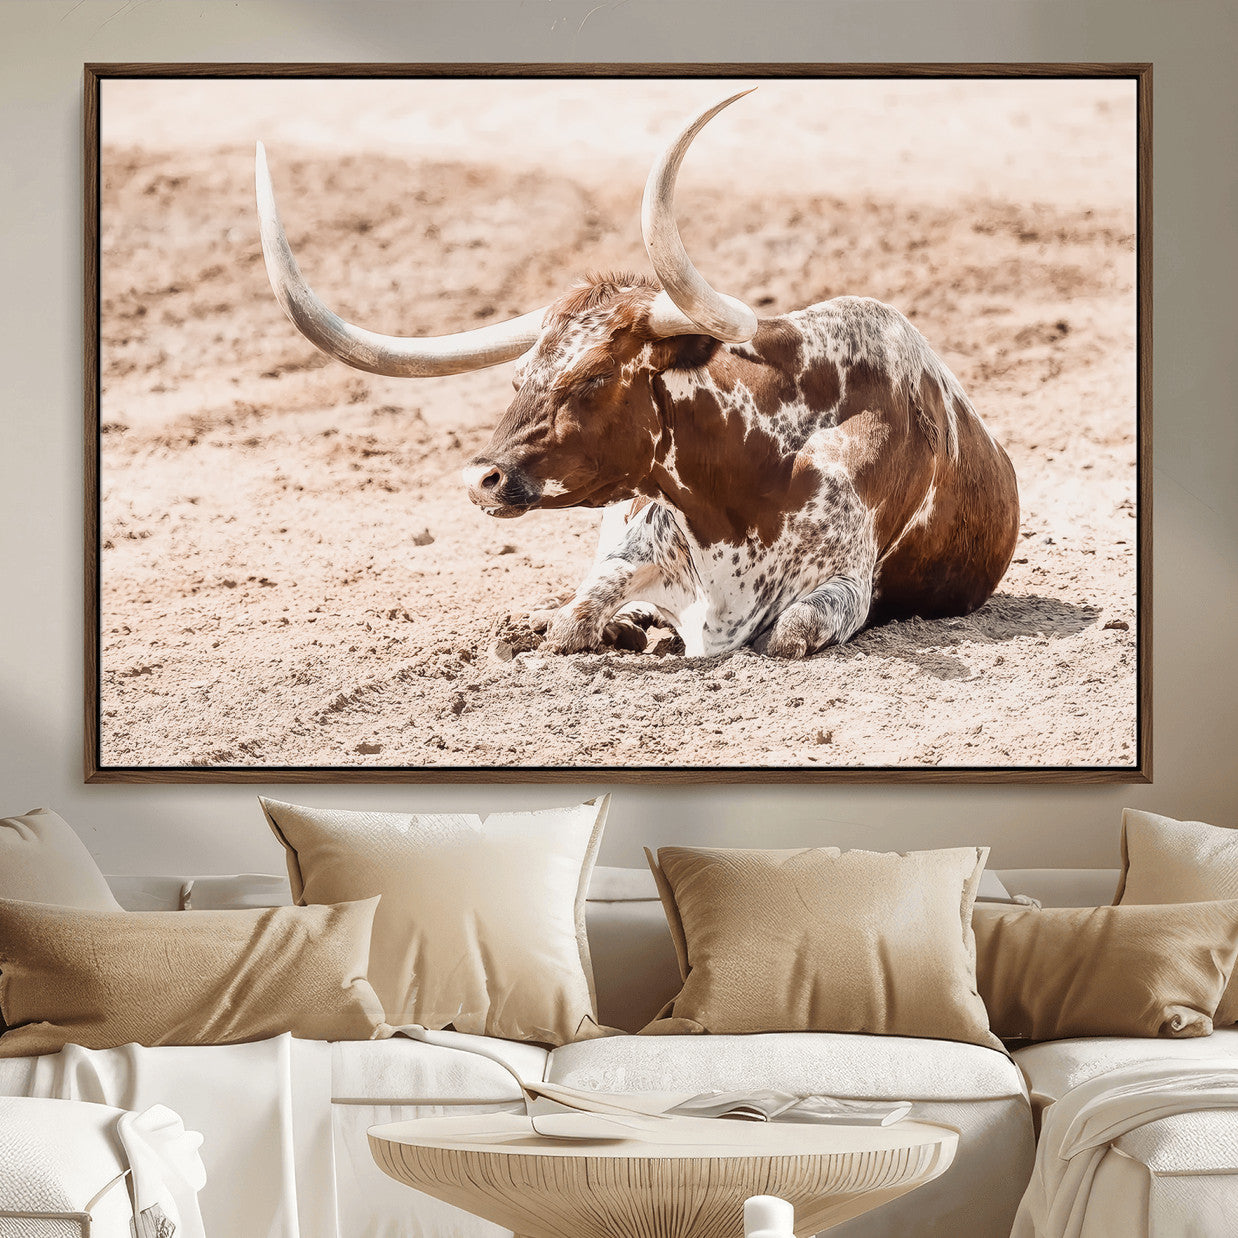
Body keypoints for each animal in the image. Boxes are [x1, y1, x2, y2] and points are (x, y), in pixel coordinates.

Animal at [256, 92, 1019, 659]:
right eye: (519, 376)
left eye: (593, 378)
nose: (482, 479)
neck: (746, 483)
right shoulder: (629, 548)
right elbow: (573, 619)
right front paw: (597, 627)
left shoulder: (844, 587)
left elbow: (787, 633)